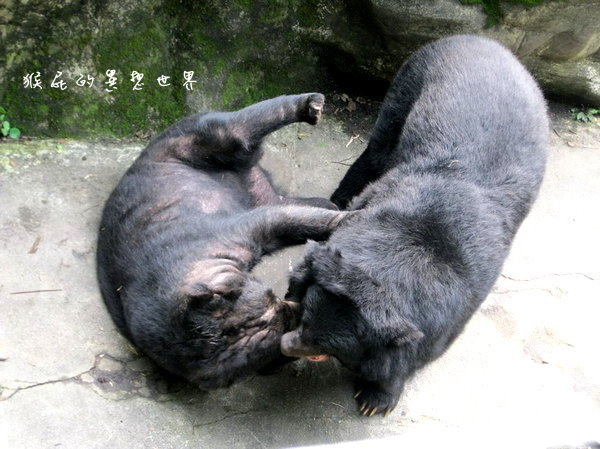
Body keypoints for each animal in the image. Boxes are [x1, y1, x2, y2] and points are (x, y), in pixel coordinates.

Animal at [97, 92, 352, 388]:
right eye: (277, 306)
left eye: (270, 297)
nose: (299, 313)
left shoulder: (212, 237)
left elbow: (277, 221)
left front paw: (354, 217)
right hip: (254, 187)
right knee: (280, 196)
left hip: (187, 143)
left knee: (234, 128)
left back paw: (312, 106)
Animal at [282, 36, 548, 416]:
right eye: (305, 320)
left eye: (322, 344)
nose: (287, 345)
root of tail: (482, 40)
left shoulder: (460, 300)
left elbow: (419, 351)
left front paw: (375, 399)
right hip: (408, 83)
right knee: (378, 148)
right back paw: (340, 196)